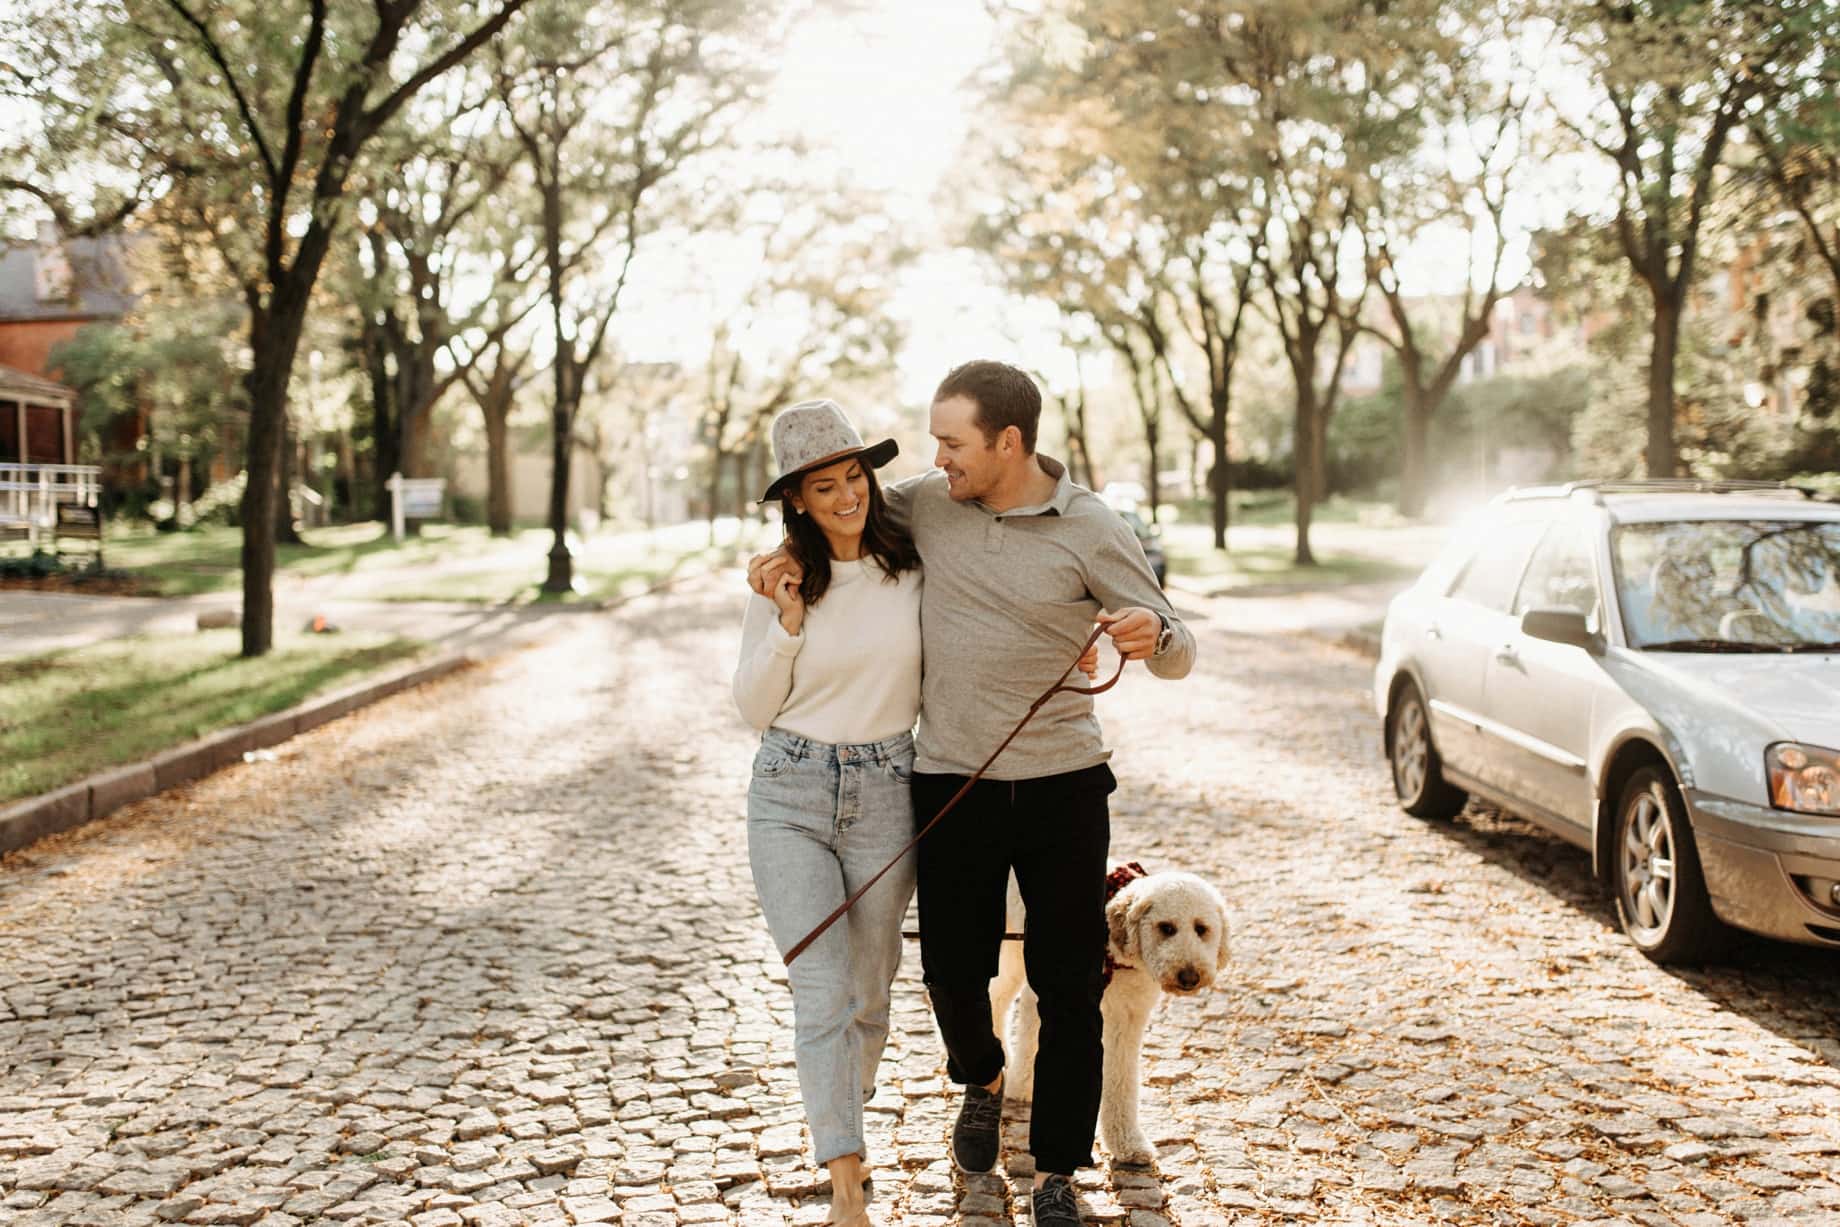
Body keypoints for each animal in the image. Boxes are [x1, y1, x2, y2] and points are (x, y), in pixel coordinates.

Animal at [986, 868, 1229, 1169]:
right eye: (1166, 927)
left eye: (1201, 928)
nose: (1189, 977)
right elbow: (1033, 1043)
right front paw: (1022, 1089)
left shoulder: (1126, 1020)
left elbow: (1121, 1080)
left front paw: (1128, 1145)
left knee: (997, 997)